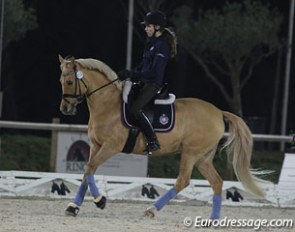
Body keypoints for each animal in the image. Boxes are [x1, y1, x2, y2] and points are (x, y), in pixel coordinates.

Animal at [57, 55, 268, 218]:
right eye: (61, 82)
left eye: (69, 82)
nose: (65, 108)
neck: (107, 104)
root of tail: (218, 111)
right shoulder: (95, 145)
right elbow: (87, 172)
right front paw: (73, 207)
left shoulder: (111, 146)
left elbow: (90, 168)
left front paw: (100, 201)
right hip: (203, 158)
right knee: (216, 182)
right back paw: (213, 219)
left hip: (191, 153)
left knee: (183, 180)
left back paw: (151, 209)